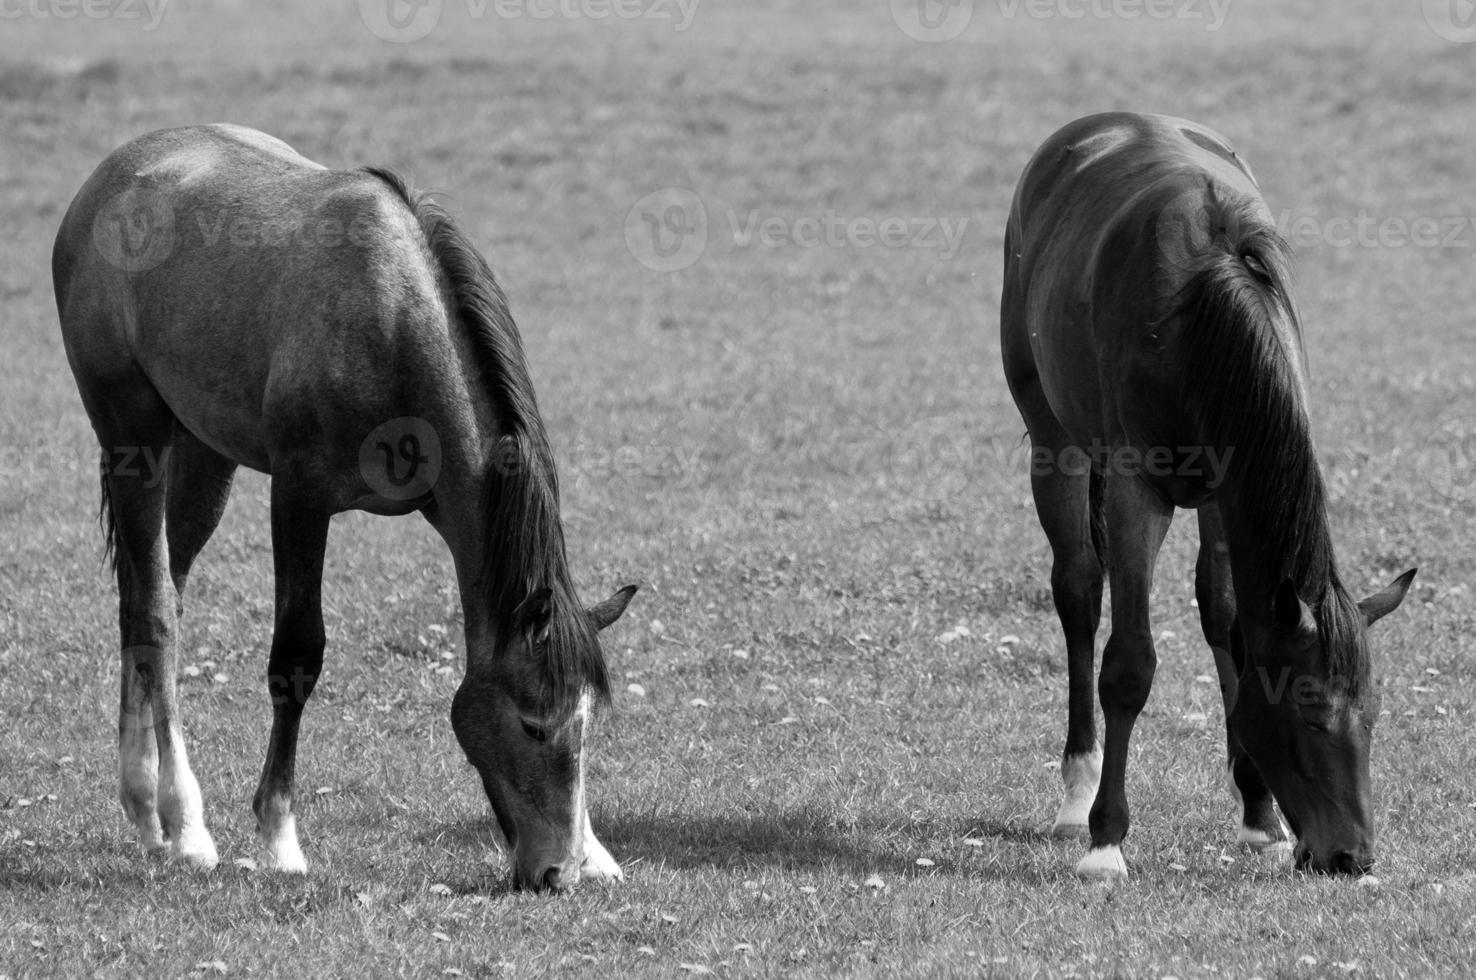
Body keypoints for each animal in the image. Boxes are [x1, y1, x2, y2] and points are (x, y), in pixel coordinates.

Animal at [50, 126, 640, 891]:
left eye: (587, 722)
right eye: (532, 722)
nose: (556, 873)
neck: (392, 322)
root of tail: (108, 179)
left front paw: (596, 850)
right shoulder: (300, 496)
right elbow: (297, 657)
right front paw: (278, 839)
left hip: (205, 458)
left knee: (149, 599)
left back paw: (145, 810)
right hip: (134, 437)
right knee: (154, 611)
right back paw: (185, 825)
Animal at [1003, 112, 1416, 879]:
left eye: (1372, 714)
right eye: (1311, 712)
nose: (1351, 856)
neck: (1199, 306)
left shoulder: (1230, 491)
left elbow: (1230, 621)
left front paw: (1258, 814)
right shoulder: (1136, 488)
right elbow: (1129, 663)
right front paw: (1107, 841)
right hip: (1055, 444)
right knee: (1078, 592)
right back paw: (1077, 794)